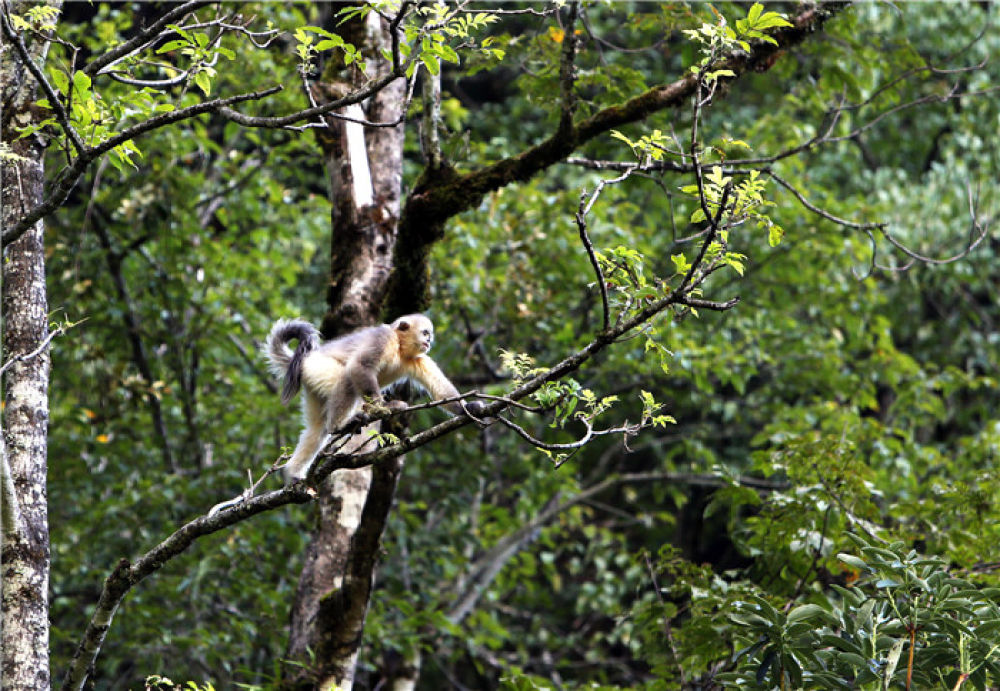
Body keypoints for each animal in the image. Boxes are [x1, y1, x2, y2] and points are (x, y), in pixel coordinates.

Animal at [266, 314, 484, 482]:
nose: (429, 341)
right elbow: (359, 366)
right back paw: (340, 424)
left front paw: (470, 408)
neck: (399, 348)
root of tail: (306, 359)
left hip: (313, 388)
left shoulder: (418, 359)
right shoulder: (383, 338)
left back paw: (293, 473)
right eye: (425, 333)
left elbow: (441, 391)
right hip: (318, 368)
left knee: (316, 431)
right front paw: (380, 407)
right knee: (347, 377)